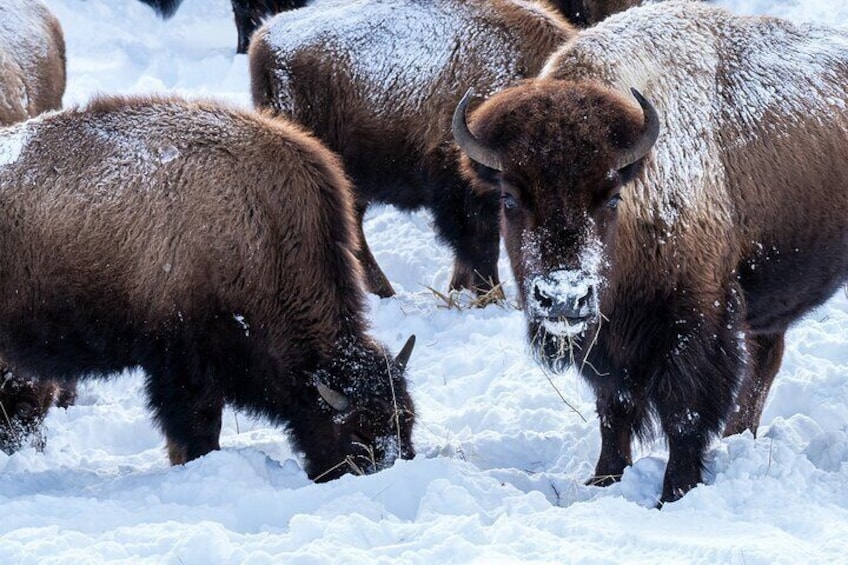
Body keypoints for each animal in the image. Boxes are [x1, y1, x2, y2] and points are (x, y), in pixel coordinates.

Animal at [0, 93, 414, 480]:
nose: (397, 464)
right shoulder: (184, 363)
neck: (264, 229)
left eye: (408, 421)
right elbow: (197, 427)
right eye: (358, 435)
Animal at [247, 0, 576, 298]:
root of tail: (263, 40)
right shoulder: (462, 190)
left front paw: (458, 290)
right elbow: (482, 246)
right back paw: (384, 292)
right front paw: (490, 298)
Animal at [454, 0, 848, 502]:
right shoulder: (608, 343)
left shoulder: (696, 322)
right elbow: (614, 409)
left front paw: (675, 492)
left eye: (611, 197)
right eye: (509, 198)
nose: (563, 296)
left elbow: (684, 414)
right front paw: (604, 479)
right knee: (765, 361)